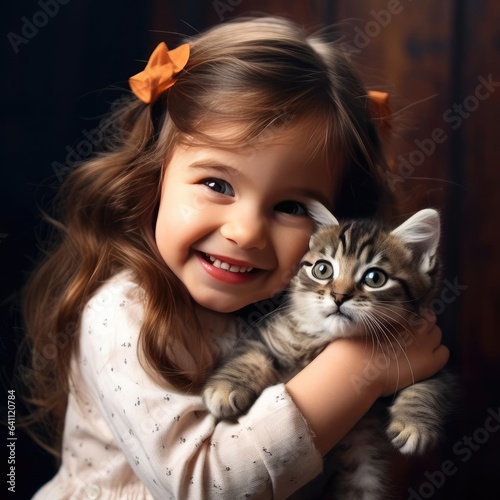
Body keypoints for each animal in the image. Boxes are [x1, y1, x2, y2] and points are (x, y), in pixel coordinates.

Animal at [202, 204, 454, 500]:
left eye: (375, 278)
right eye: (323, 269)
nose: (339, 296)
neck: (326, 340)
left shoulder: (439, 358)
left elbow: (428, 386)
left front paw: (413, 425)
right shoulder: (265, 335)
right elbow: (249, 357)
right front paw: (224, 389)